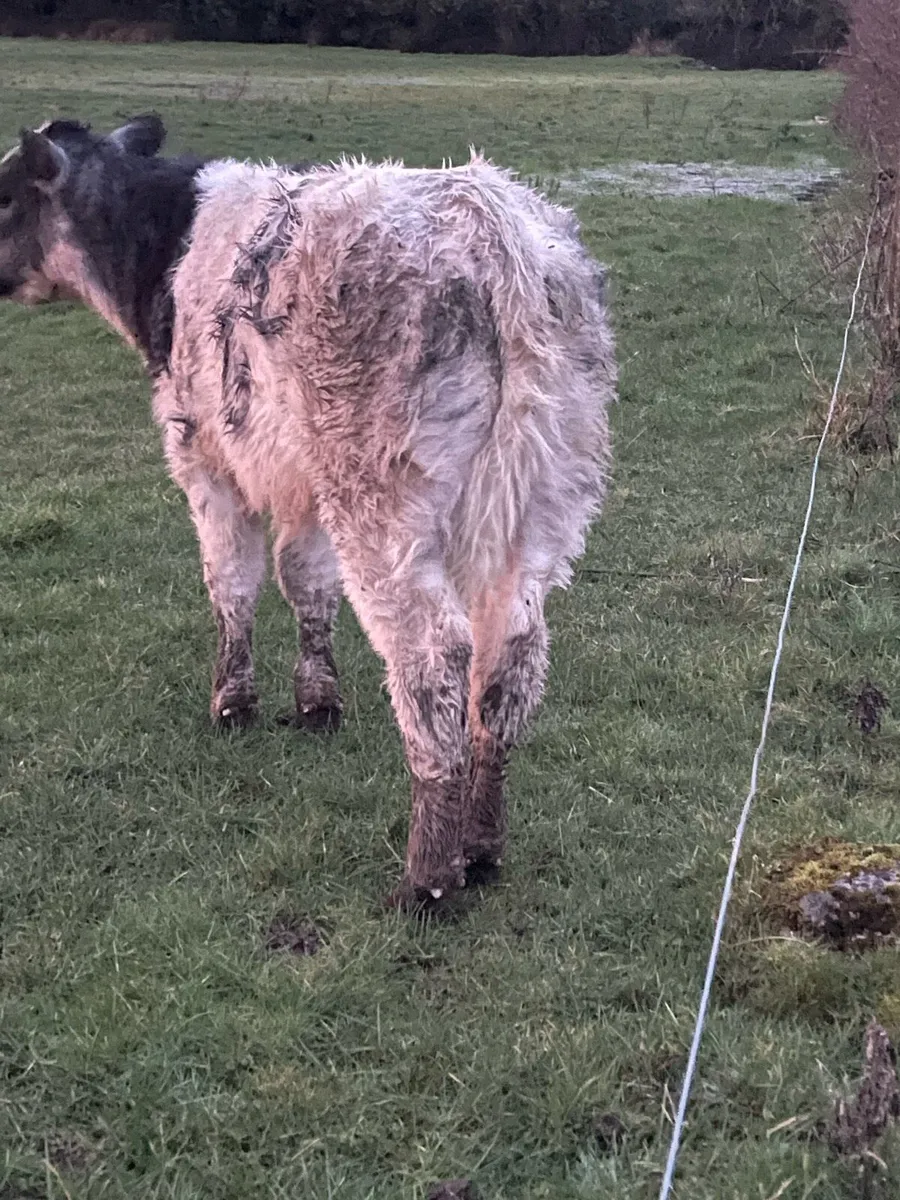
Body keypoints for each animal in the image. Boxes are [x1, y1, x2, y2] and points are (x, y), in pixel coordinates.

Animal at [0, 115, 615, 910]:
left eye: (3, 194)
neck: (163, 238)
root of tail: (487, 224)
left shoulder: (204, 459)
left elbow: (232, 580)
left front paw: (233, 703)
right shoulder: (303, 483)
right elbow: (306, 580)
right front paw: (317, 701)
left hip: (383, 499)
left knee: (433, 654)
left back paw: (428, 879)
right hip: (545, 497)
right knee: (511, 652)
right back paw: (481, 849)